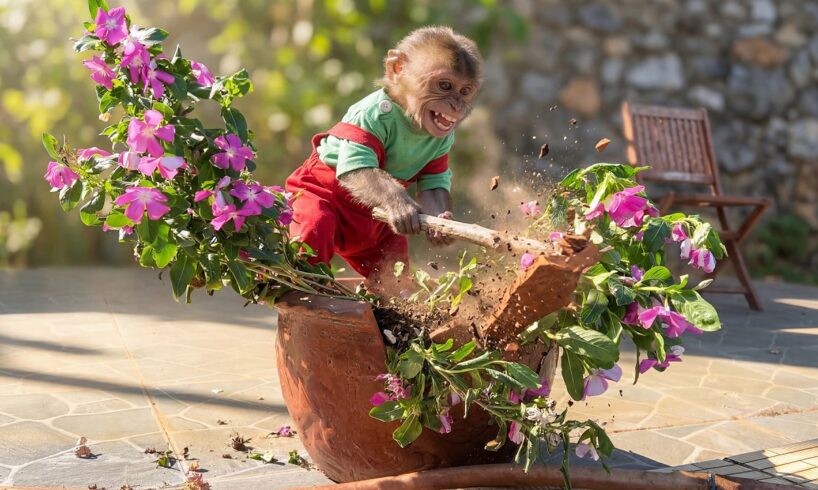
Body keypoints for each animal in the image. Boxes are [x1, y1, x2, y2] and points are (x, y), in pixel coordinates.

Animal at [284, 26, 482, 280]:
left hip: (375, 239)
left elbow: (433, 182)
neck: (409, 119)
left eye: (465, 90)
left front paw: (443, 224)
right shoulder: (368, 118)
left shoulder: (445, 140)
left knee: (390, 262)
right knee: (314, 223)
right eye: (445, 85)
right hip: (306, 188)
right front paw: (399, 204)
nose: (457, 105)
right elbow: (358, 168)